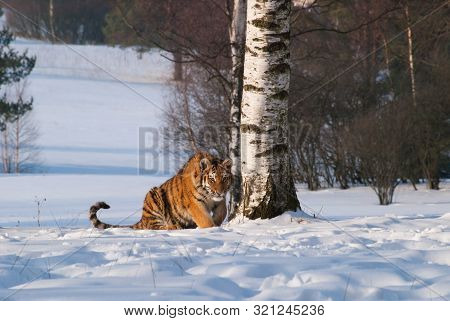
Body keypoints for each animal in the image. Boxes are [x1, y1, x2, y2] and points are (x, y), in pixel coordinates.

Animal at [88, 151, 232, 229]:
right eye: (212, 179)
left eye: (225, 178)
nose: (220, 192)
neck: (209, 196)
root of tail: (142, 219)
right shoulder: (195, 204)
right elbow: (205, 220)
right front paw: (212, 228)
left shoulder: (220, 201)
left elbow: (222, 212)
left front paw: (217, 224)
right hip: (153, 196)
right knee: (156, 227)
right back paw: (174, 226)